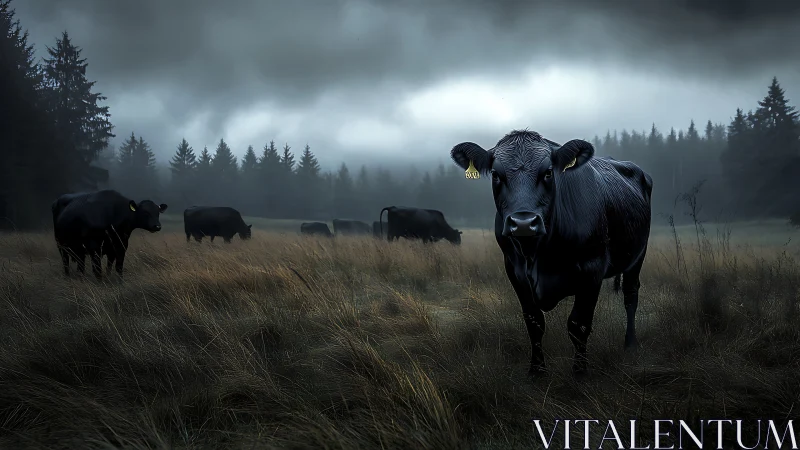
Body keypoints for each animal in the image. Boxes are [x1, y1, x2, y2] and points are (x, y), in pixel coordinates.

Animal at [450, 130, 652, 378]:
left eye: (547, 172)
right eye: (496, 175)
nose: (523, 223)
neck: (540, 256)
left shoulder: (592, 269)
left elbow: (578, 324)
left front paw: (579, 372)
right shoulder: (514, 271)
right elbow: (534, 322)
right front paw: (536, 370)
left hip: (638, 254)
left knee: (630, 296)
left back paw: (630, 343)